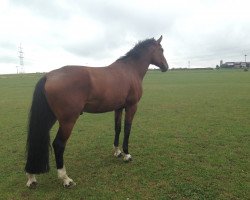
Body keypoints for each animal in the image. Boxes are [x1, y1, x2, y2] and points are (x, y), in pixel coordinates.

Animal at [24, 35, 168, 188]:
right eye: (161, 50)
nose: (166, 66)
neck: (129, 70)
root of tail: (48, 76)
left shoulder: (118, 108)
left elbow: (118, 128)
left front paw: (117, 152)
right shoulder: (131, 106)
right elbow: (127, 129)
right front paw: (127, 155)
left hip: (49, 118)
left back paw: (31, 177)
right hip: (67, 121)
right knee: (58, 144)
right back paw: (65, 179)